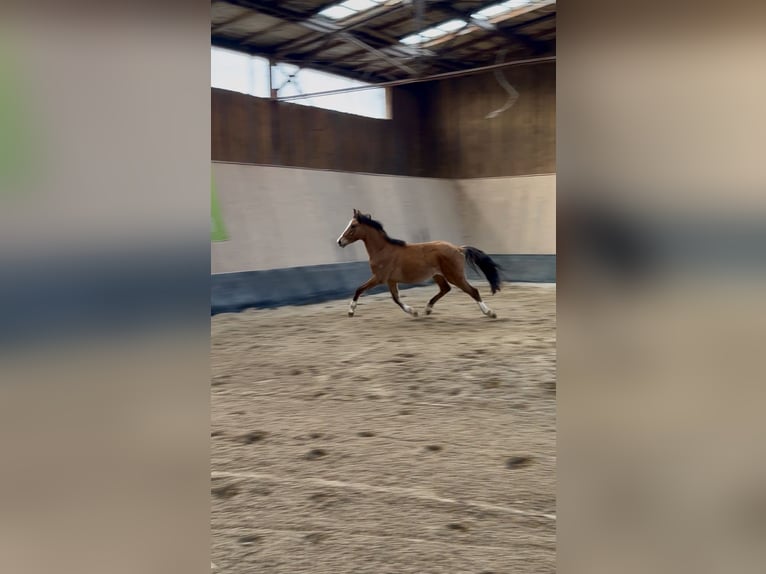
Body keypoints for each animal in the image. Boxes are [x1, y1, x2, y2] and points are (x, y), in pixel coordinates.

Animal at [336, 209, 502, 318]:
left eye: (353, 226)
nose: (339, 241)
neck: (383, 249)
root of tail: (458, 248)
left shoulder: (379, 278)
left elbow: (359, 289)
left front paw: (351, 311)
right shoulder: (391, 280)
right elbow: (396, 299)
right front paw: (414, 311)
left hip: (455, 276)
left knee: (473, 291)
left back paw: (490, 312)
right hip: (438, 275)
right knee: (445, 289)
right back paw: (427, 309)